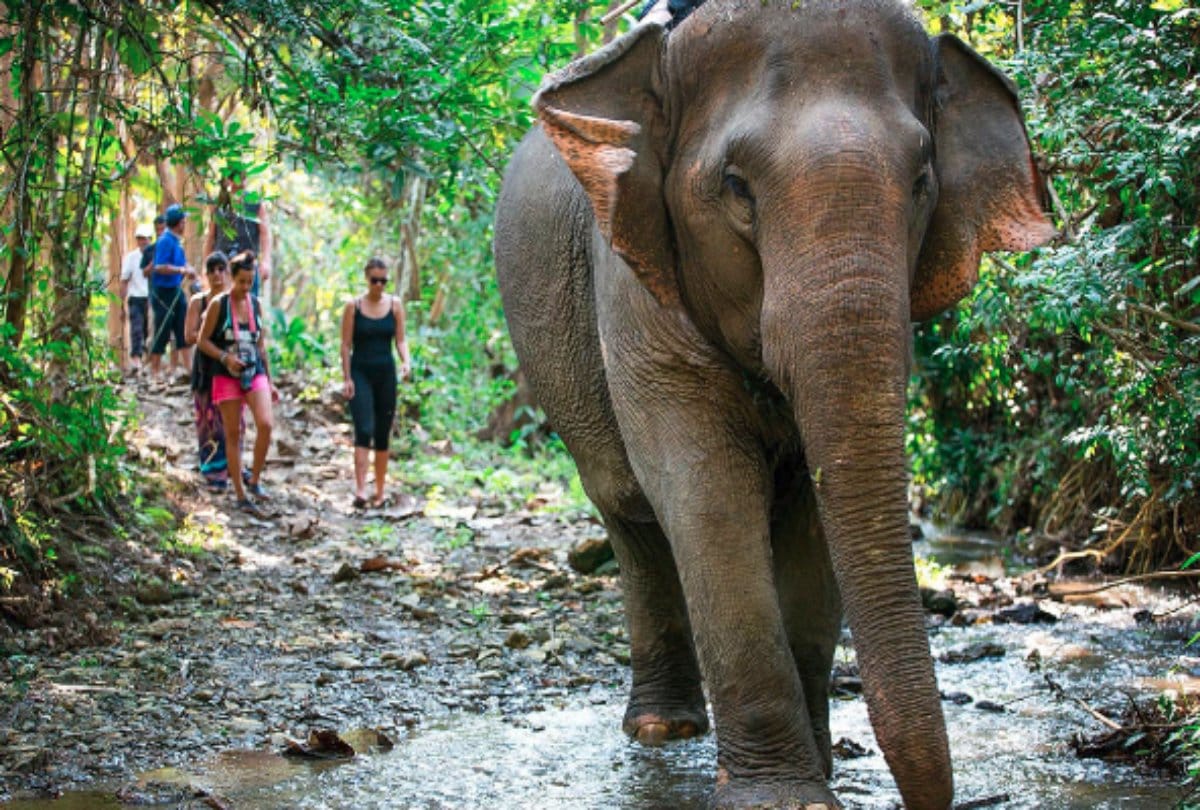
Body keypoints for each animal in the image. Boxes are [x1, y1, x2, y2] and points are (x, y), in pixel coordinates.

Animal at [493, 1, 1054, 807]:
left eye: (922, 179)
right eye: (736, 185)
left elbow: (816, 510)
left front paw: (819, 768)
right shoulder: (634, 278)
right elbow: (705, 489)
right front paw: (786, 796)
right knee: (630, 512)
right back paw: (664, 730)